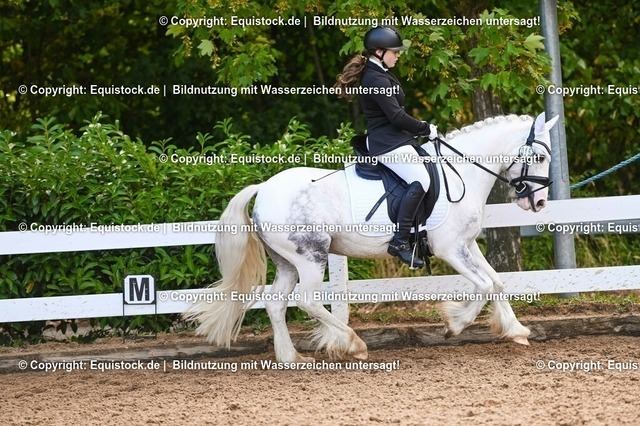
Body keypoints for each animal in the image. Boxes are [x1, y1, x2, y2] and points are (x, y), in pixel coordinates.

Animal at [184, 112, 559, 363]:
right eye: (540, 156)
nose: (540, 203)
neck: (461, 172)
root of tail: (263, 188)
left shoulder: (466, 245)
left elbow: (496, 282)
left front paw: (516, 330)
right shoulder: (450, 249)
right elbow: (483, 286)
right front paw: (454, 324)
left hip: (288, 261)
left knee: (276, 303)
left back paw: (292, 358)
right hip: (311, 256)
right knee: (307, 301)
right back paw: (353, 344)